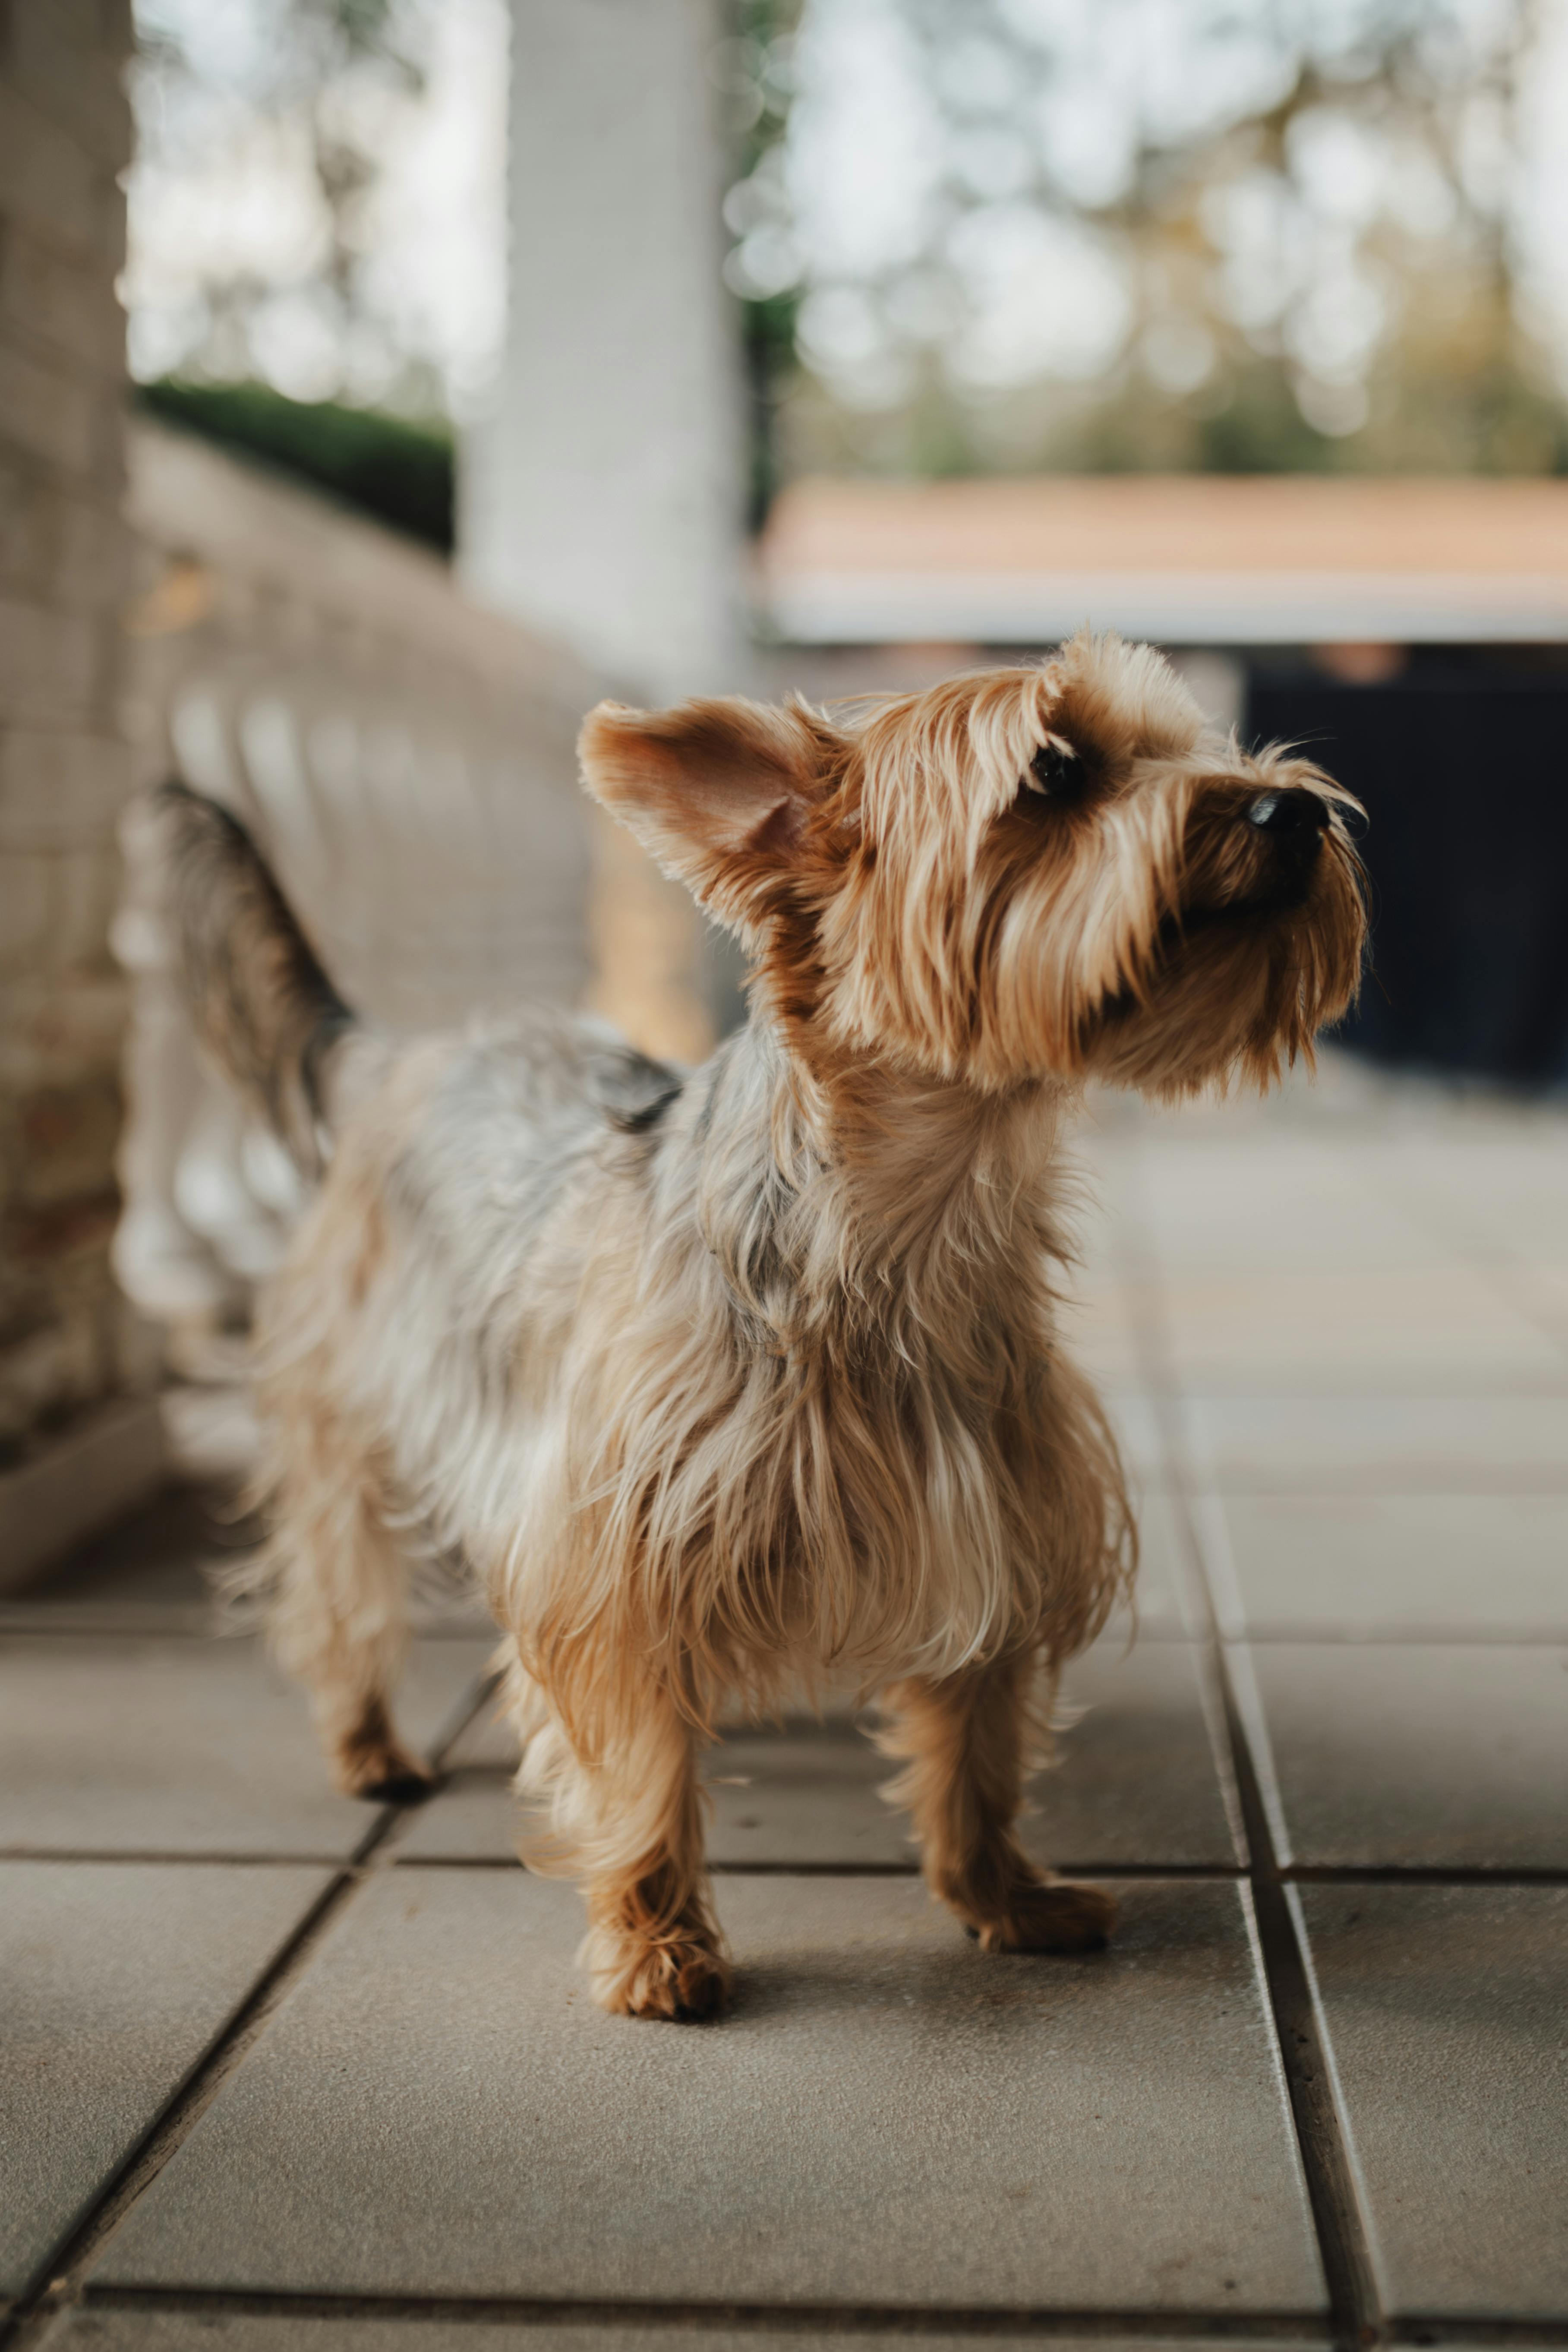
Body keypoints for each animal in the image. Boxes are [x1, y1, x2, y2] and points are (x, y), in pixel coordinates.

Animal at [160, 635, 1363, 2013]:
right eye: (1056, 771)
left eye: (1199, 741)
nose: (1297, 811)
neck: (915, 1226)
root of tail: (393, 1057)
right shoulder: (622, 1550)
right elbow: (639, 1766)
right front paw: (657, 1942)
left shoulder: (998, 1521)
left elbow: (978, 1738)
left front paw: (1001, 1893)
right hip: (348, 1399)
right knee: (339, 1578)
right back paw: (368, 1742)